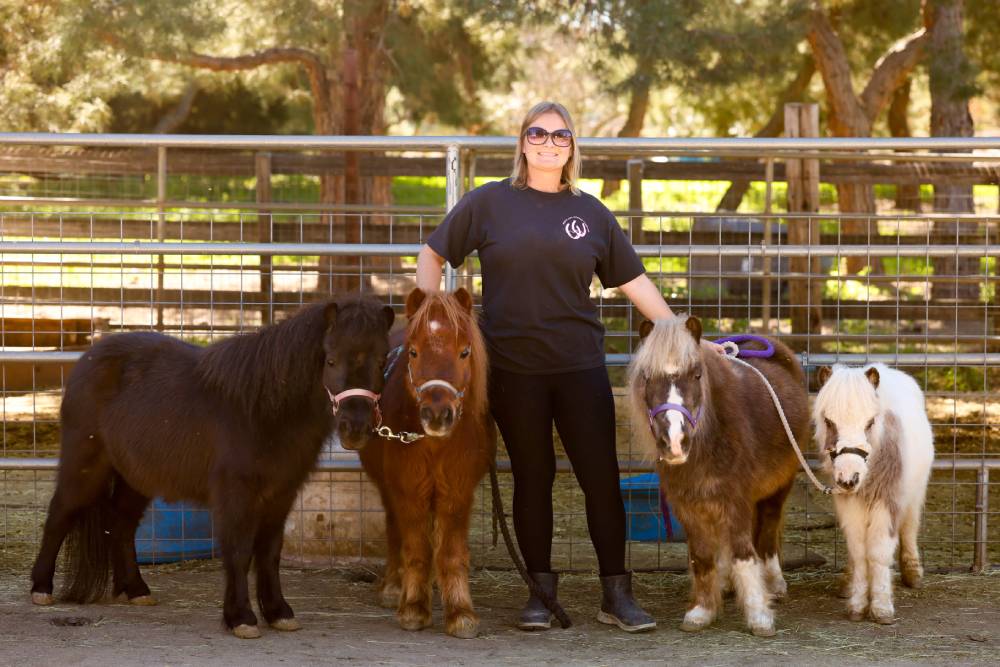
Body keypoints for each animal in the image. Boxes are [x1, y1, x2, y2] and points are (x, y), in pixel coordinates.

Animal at [31, 296, 392, 636]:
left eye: (382, 361)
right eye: (331, 360)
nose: (355, 428)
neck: (262, 411)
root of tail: (90, 358)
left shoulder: (281, 495)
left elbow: (269, 553)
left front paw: (279, 613)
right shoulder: (236, 495)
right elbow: (239, 552)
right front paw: (241, 618)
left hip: (136, 478)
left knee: (120, 525)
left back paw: (136, 590)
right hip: (85, 465)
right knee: (60, 515)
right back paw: (41, 590)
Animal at [362, 288, 498, 640]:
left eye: (464, 352)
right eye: (414, 352)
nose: (438, 414)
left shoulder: (457, 493)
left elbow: (450, 552)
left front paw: (461, 612)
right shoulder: (408, 489)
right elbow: (416, 549)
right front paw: (413, 607)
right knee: (395, 530)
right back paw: (394, 587)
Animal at [628, 316, 808, 640]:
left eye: (697, 374)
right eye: (647, 377)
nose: (675, 442)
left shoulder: (736, 501)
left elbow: (743, 553)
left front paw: (759, 616)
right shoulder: (687, 505)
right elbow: (701, 556)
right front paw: (702, 611)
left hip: (779, 486)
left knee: (767, 532)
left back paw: (774, 584)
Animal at [816, 362, 932, 624]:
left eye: (870, 422)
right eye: (828, 421)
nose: (849, 478)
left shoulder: (888, 502)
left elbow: (878, 552)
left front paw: (881, 608)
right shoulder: (849, 504)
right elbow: (859, 552)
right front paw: (858, 606)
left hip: (915, 492)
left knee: (909, 526)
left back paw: (913, 573)